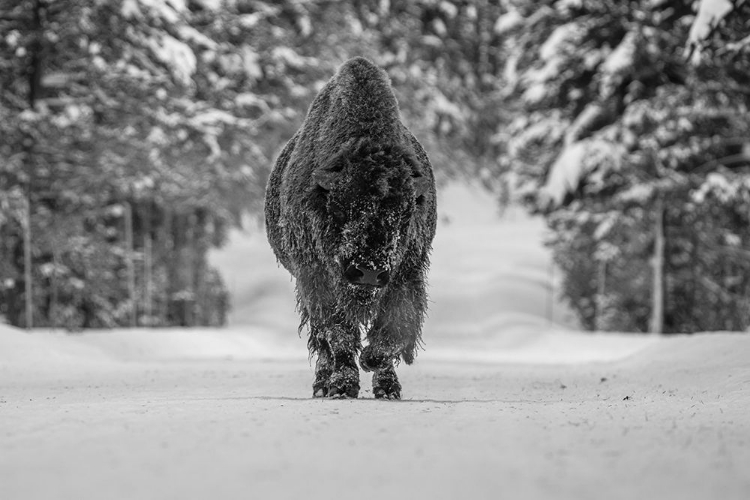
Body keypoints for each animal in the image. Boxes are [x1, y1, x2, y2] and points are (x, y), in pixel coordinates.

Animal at [266, 56, 438, 400]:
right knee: (321, 342)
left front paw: (376, 366)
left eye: (404, 214)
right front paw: (343, 385)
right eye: (341, 207)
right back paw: (323, 384)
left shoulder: (407, 272)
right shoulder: (316, 278)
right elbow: (338, 334)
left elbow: (394, 329)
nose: (368, 272)